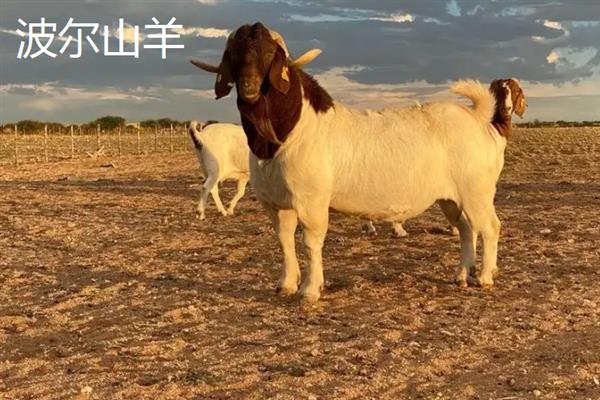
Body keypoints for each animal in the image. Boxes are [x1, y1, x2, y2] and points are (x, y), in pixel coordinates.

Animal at [191, 23, 527, 304]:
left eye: (271, 55)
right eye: (235, 53)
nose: (248, 87)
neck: (292, 130)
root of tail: (479, 119)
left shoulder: (311, 202)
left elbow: (311, 243)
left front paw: (310, 290)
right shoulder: (275, 204)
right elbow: (284, 241)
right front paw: (286, 284)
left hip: (477, 192)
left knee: (490, 227)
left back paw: (485, 277)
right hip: (451, 198)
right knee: (467, 229)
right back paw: (462, 274)